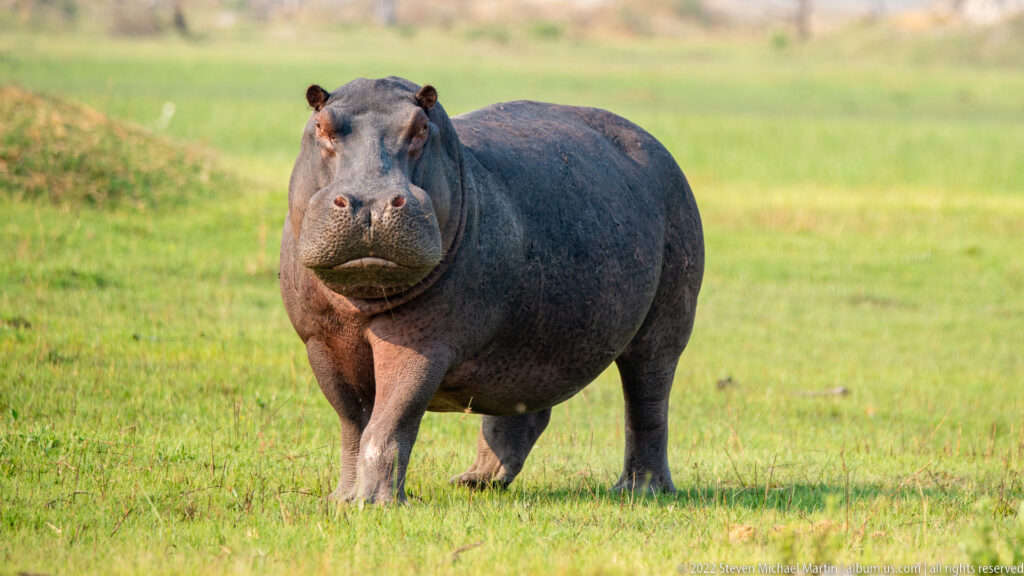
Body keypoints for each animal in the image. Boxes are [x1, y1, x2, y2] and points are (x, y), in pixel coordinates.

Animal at [279, 77, 704, 504]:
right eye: (321, 126)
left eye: (421, 128)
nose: (370, 203)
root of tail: (655, 145)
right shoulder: (321, 340)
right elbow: (353, 421)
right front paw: (342, 500)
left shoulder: (423, 342)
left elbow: (390, 420)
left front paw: (374, 502)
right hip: (533, 335)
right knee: (523, 404)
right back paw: (474, 480)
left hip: (664, 329)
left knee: (647, 403)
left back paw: (642, 488)